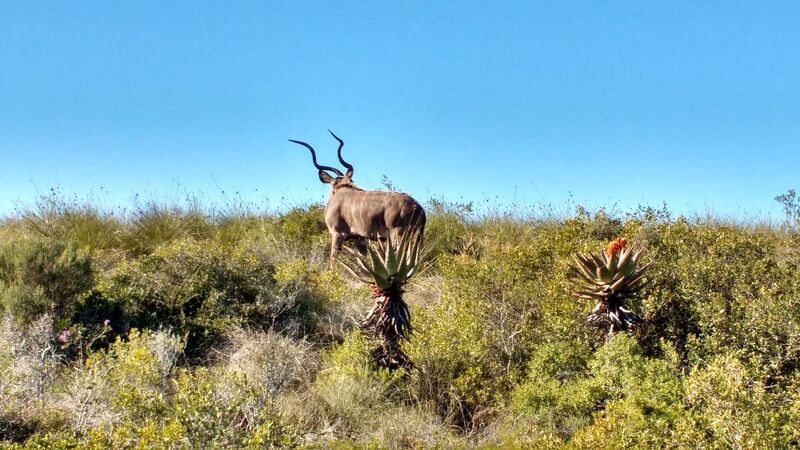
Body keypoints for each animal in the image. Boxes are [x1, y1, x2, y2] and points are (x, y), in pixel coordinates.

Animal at [288, 130, 424, 264]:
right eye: (351, 179)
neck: (341, 190)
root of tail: (418, 208)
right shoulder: (360, 239)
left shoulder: (337, 234)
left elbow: (333, 261)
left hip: (398, 236)